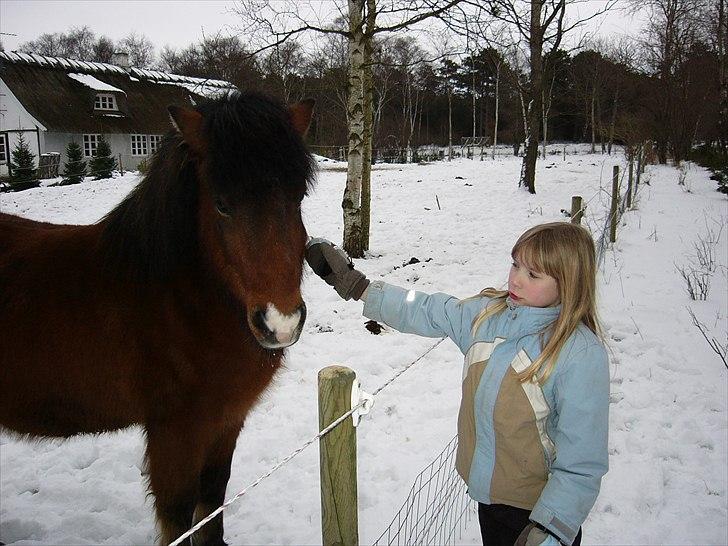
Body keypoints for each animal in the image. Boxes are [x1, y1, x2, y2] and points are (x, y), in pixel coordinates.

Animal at [1, 91, 318, 540]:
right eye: (221, 205)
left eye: (297, 198)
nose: (280, 323)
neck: (177, 307)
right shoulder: (174, 434)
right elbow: (179, 516)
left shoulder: (226, 422)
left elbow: (212, 505)